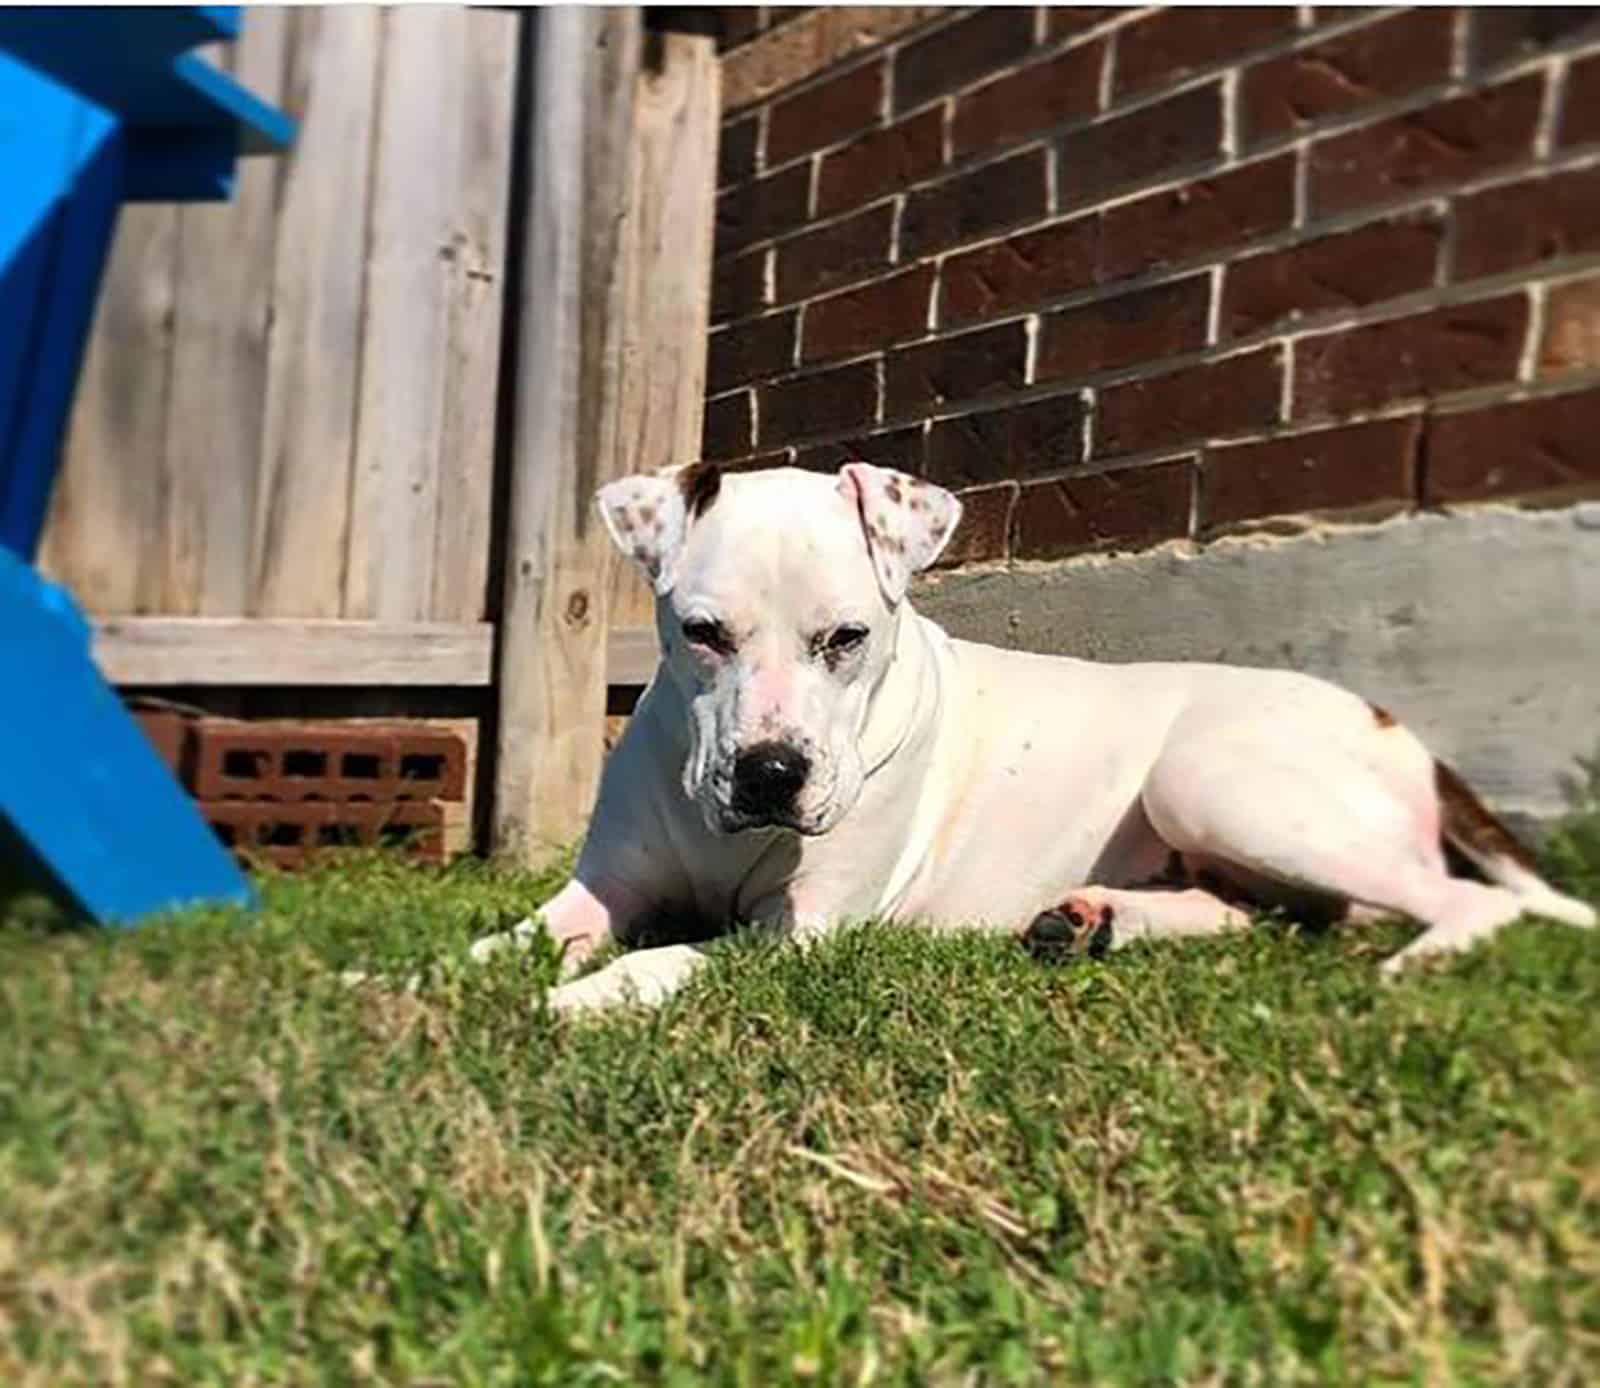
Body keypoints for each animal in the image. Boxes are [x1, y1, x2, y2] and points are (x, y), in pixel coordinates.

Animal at [470, 460, 1587, 1017]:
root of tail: (1394, 724)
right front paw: (440, 974)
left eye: (847, 637)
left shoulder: (801, 930)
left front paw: (587, 994)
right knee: (1277, 912)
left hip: (1216, 779)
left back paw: (1413, 967)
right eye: (702, 633)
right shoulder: (602, 887)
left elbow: (673, 958)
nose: (770, 773)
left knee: (1455, 900)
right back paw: (1092, 920)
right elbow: (500, 942)